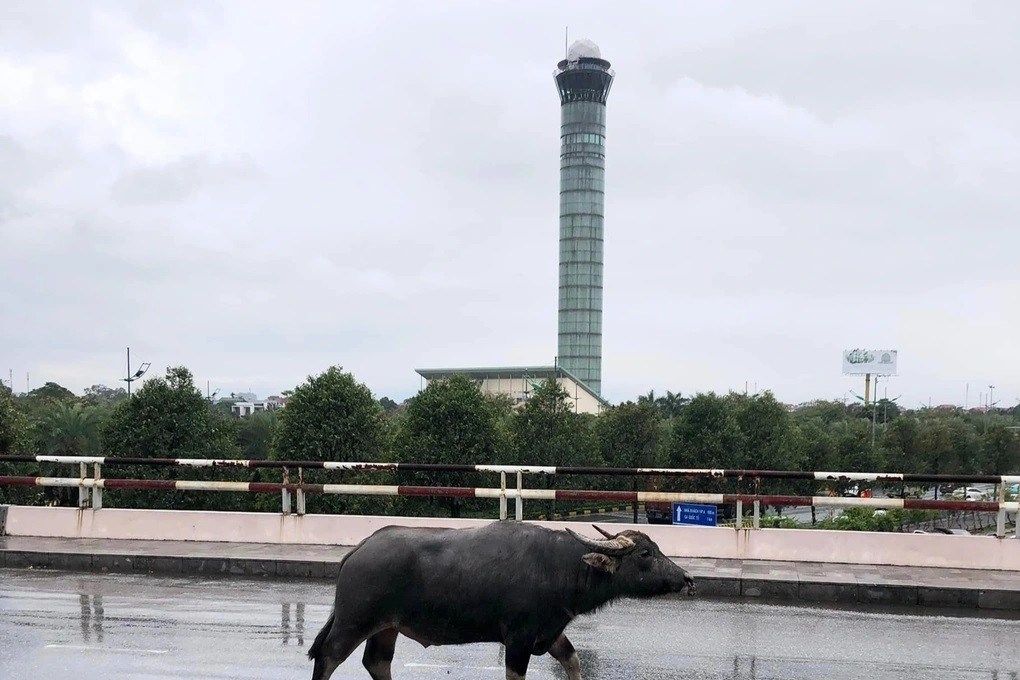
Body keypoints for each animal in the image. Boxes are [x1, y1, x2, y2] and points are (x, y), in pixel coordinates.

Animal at [306, 526, 697, 676]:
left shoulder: (551, 633)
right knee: (328, 656)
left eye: (656, 547)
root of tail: (358, 550)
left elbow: (573, 662)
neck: (559, 566)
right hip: (353, 621)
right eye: (645, 553)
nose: (687, 579)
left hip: (387, 627)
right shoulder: (519, 639)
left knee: (376, 662)